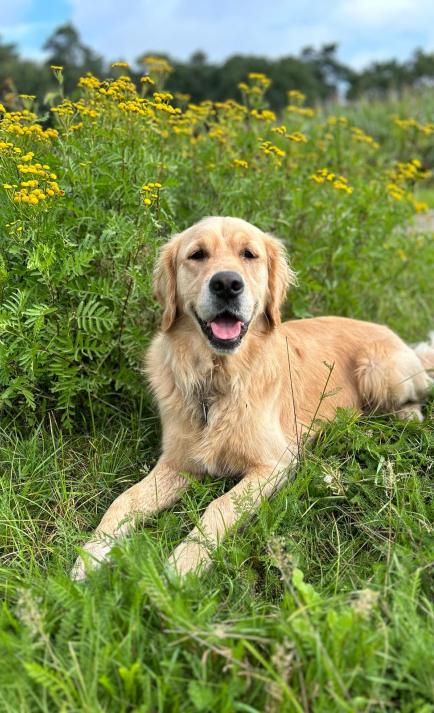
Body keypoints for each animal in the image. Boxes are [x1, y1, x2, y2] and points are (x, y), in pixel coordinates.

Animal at [72, 216, 434, 580]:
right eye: (197, 254)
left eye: (249, 254)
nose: (226, 284)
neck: (217, 381)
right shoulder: (177, 463)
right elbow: (124, 500)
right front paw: (90, 556)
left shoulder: (274, 464)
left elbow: (218, 505)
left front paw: (184, 564)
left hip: (379, 371)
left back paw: (399, 417)